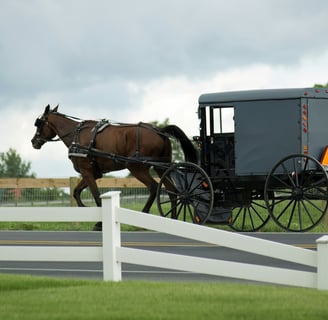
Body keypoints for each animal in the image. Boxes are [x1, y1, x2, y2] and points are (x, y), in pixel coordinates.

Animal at [31, 105, 197, 230]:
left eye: (39, 123)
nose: (34, 142)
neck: (76, 136)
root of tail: (160, 130)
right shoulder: (93, 173)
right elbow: (77, 192)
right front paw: (86, 210)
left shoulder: (87, 171)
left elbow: (96, 195)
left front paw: (99, 223)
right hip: (161, 167)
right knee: (172, 190)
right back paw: (173, 219)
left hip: (137, 168)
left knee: (154, 187)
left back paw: (144, 214)